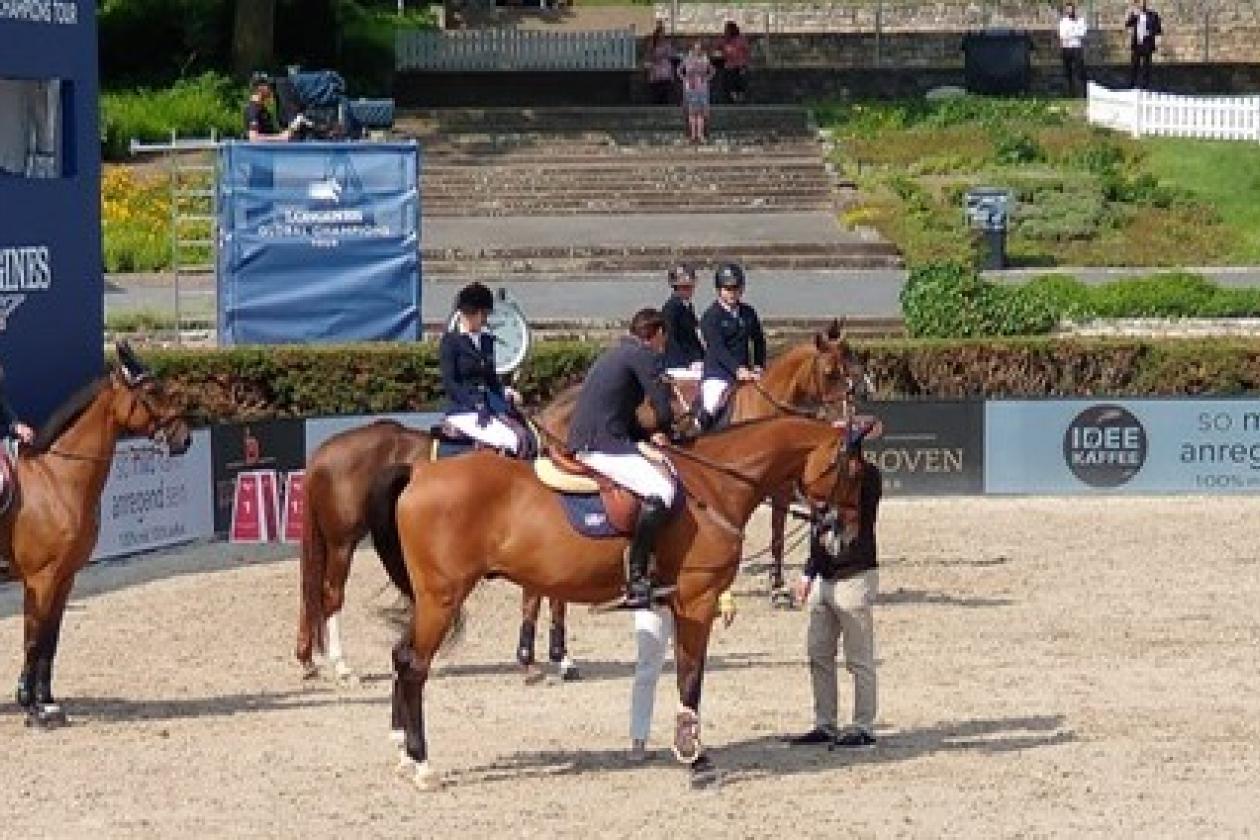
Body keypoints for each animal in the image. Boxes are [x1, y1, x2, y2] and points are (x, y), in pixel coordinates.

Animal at [0, 345, 191, 725]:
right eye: (151, 391)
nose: (185, 438)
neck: (58, 480)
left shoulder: (65, 578)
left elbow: (51, 641)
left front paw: (47, 701)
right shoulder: (40, 580)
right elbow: (33, 639)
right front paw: (31, 707)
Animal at [367, 413, 871, 790]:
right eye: (852, 471)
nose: (846, 536)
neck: (712, 484)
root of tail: (419, 471)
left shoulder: (673, 603)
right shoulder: (698, 600)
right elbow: (691, 677)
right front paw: (696, 759)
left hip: (430, 599)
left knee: (400, 656)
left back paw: (402, 754)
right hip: (442, 596)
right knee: (414, 665)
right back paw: (422, 765)